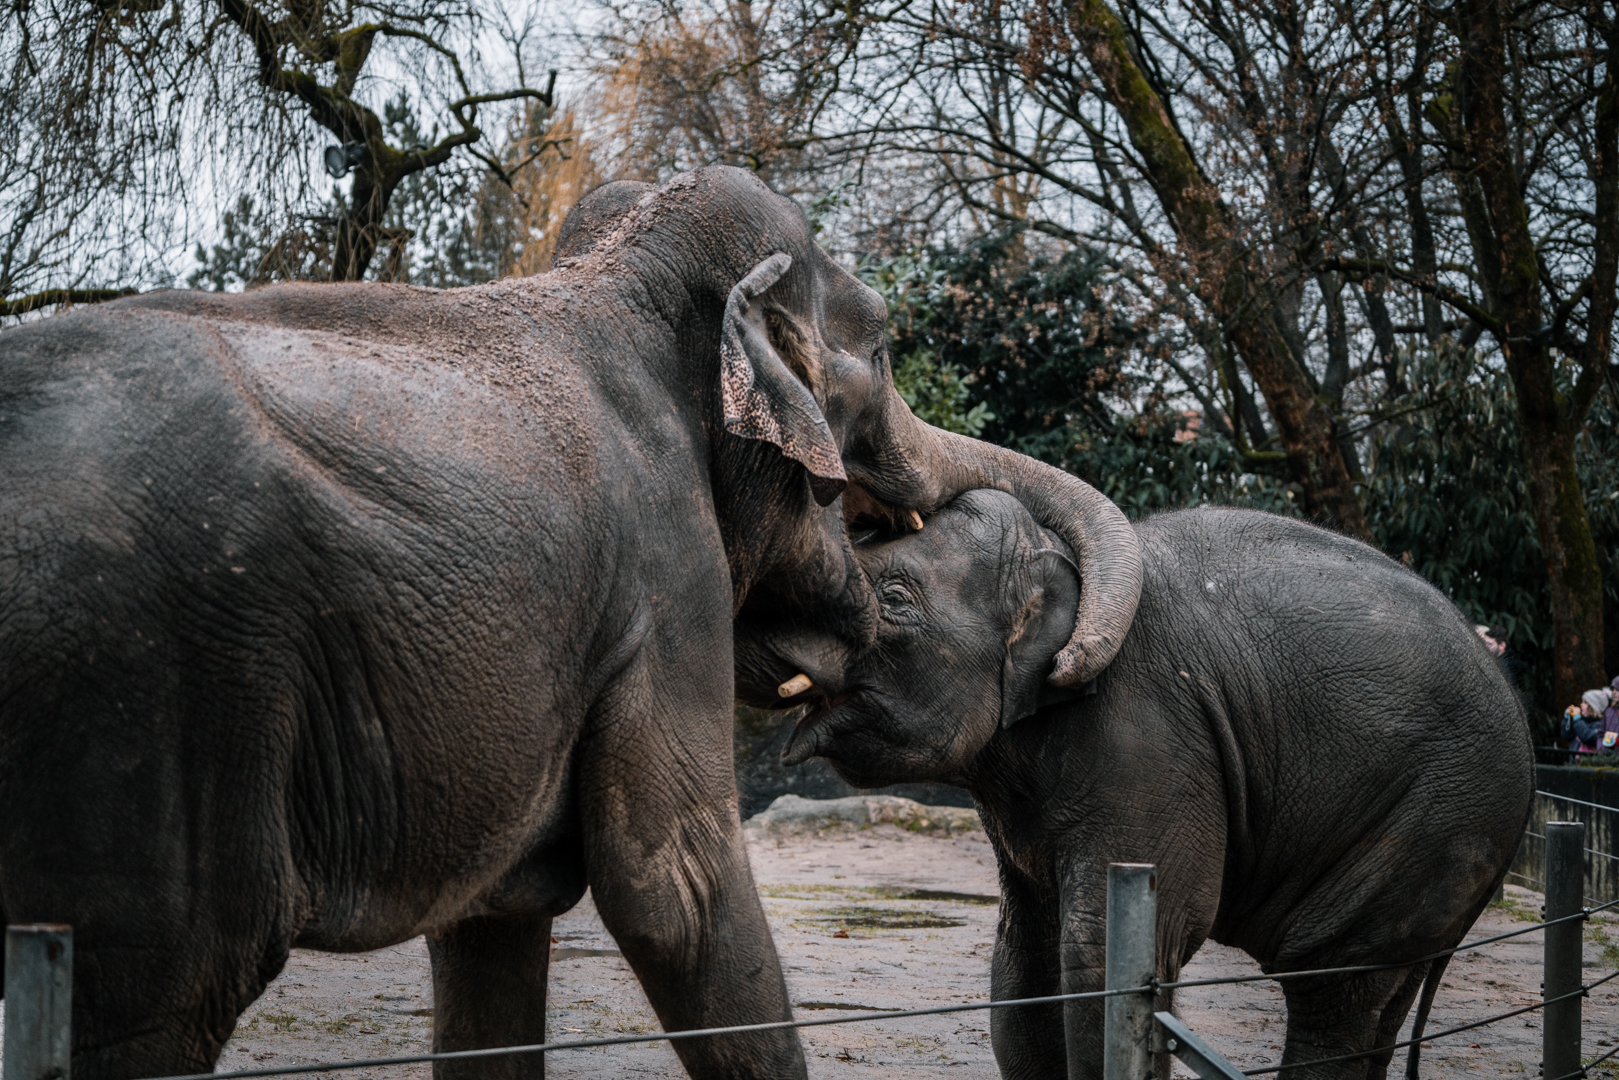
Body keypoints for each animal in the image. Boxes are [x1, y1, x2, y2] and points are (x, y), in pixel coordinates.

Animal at [0, 167, 1147, 1080]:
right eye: (891, 349)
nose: (1068, 667)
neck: (616, 270)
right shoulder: (664, 576)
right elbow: (675, 889)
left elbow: (492, 926)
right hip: (149, 711)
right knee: (160, 1004)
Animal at [736, 491, 1534, 1080]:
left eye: (896, 600)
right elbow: (1025, 954)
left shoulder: (1149, 738)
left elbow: (1102, 951)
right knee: (1372, 1002)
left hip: (1437, 820)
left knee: (1332, 987)